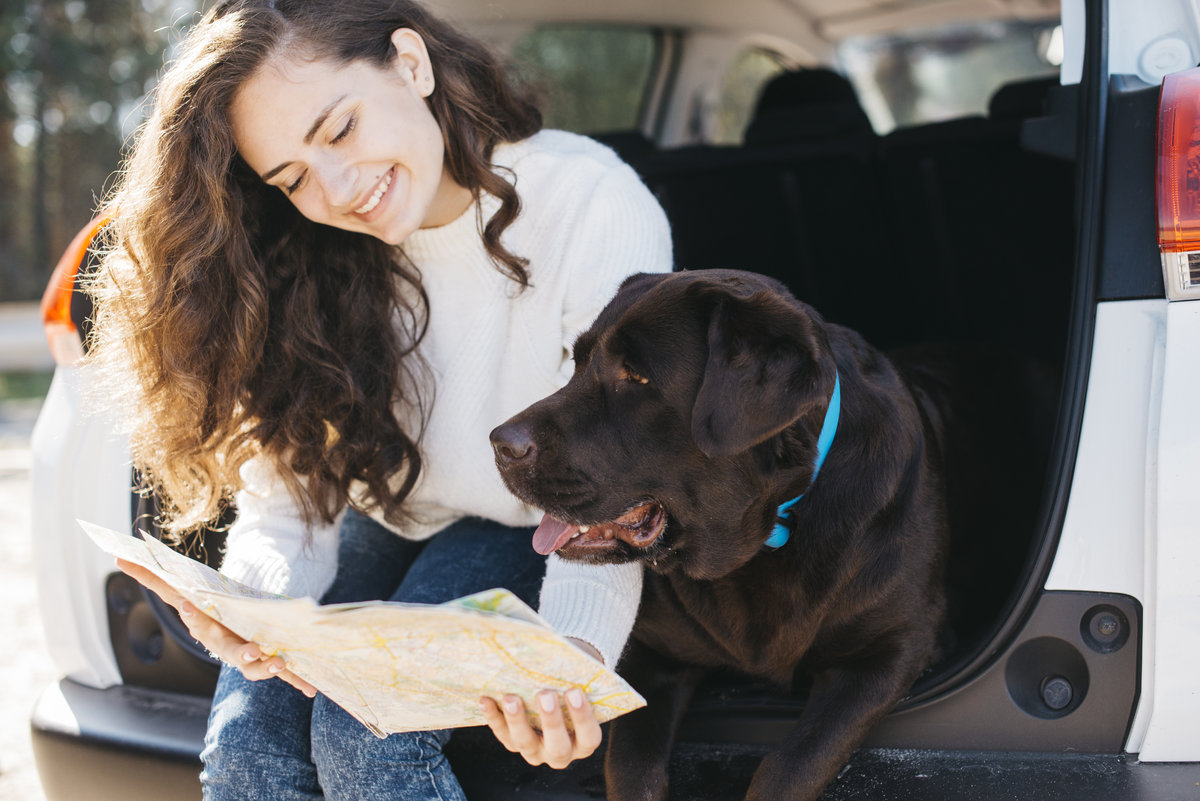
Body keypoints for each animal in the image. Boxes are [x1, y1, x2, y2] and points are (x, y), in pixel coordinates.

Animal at [492, 268, 1046, 801]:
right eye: (578, 361)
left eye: (637, 375)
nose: (499, 443)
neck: (766, 539)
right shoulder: (652, 652)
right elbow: (630, 768)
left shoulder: (895, 647)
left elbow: (793, 764)